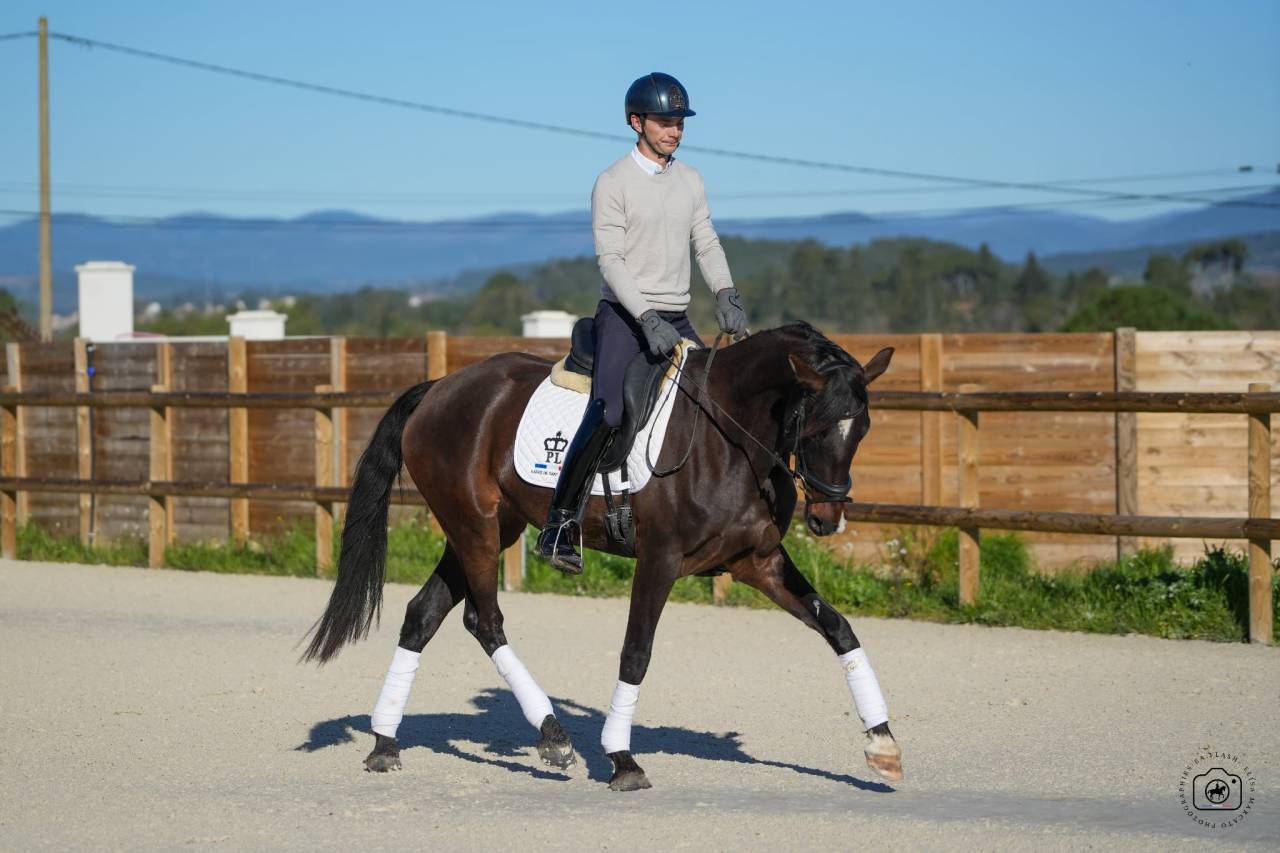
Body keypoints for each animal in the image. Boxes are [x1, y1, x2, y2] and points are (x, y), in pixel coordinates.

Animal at [302, 322, 901, 791]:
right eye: (817, 427)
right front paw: (621, 758)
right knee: (485, 620)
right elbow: (636, 653)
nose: (827, 519)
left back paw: (384, 742)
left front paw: (882, 742)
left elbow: (839, 628)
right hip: (475, 527)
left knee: (422, 614)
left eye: (864, 429)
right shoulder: (660, 559)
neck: (730, 434)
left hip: (488, 527)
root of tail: (440, 388)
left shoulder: (758, 561)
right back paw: (553, 736)